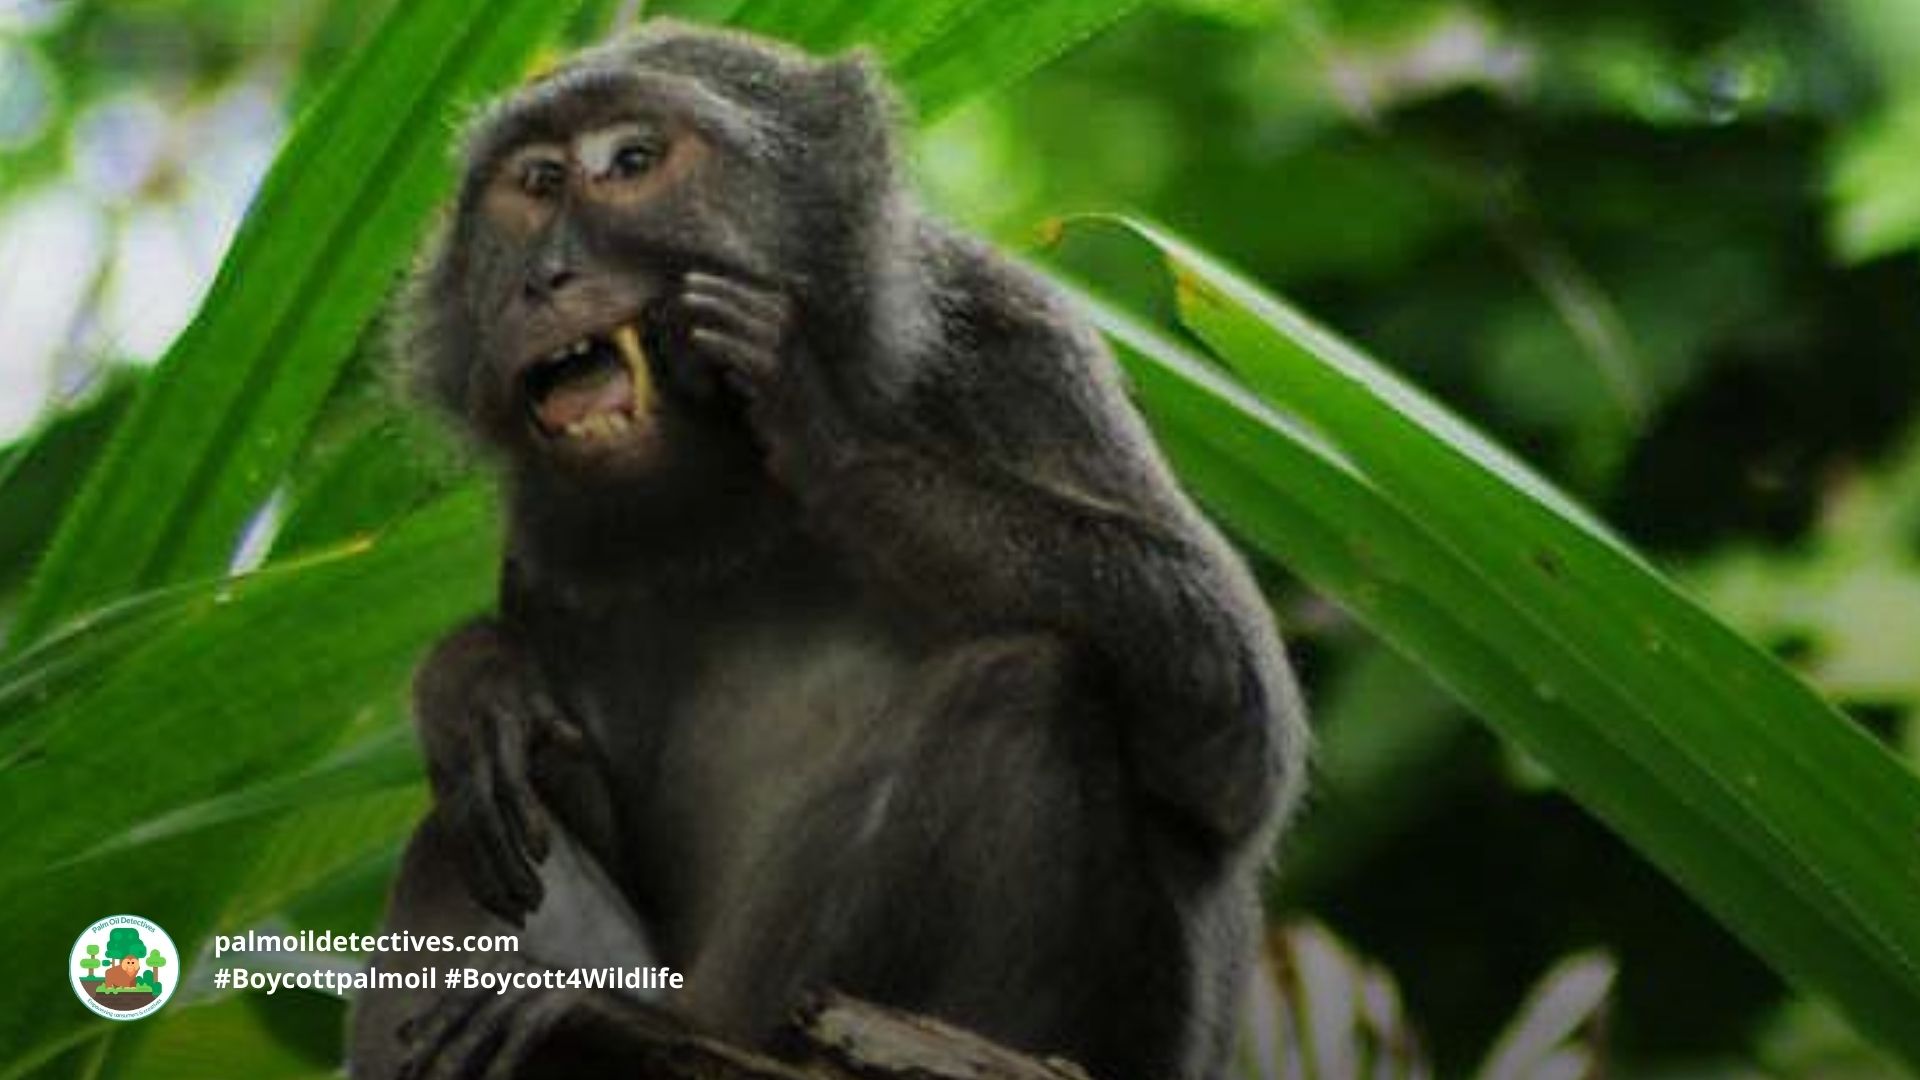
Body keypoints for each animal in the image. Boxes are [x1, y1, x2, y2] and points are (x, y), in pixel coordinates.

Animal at [348, 21, 1307, 1080]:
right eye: (536, 182)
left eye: (631, 162)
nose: (543, 279)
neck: (728, 497)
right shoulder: (547, 557)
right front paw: (472, 682)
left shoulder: (1017, 345)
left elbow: (1236, 730)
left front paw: (811, 414)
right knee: (464, 829)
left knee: (1030, 685)